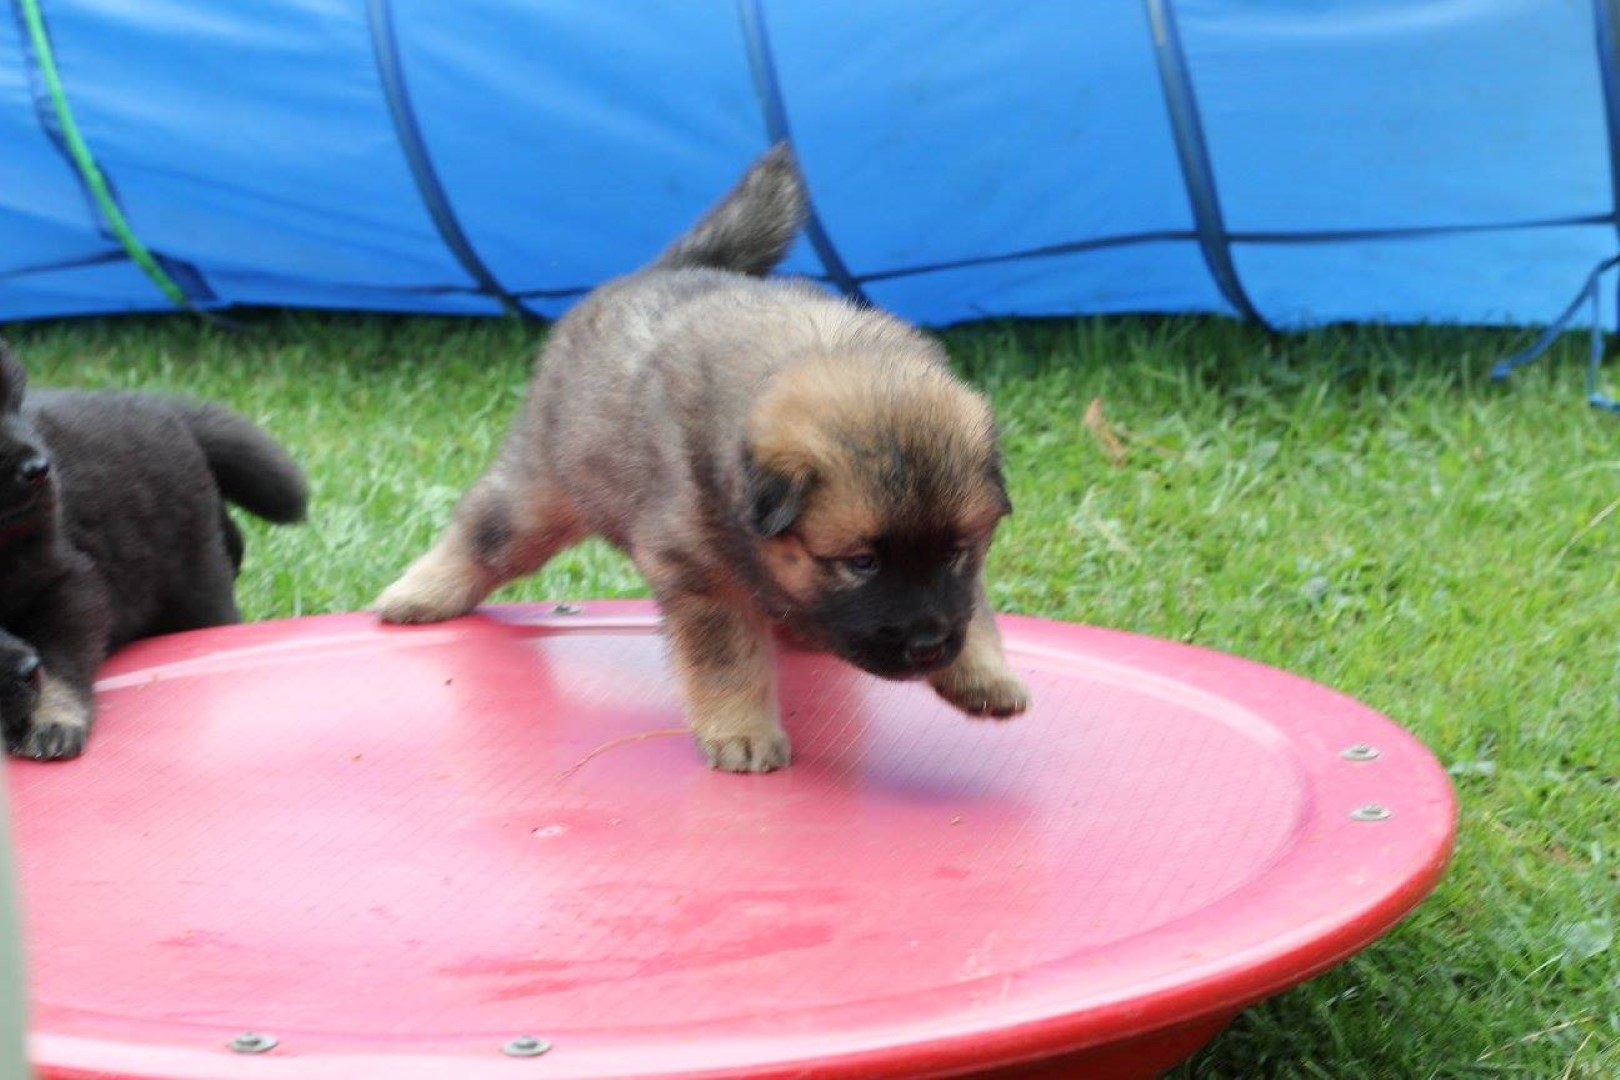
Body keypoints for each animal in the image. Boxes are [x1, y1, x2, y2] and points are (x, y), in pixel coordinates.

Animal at [0, 343, 308, 760]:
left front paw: (51, 719)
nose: (40, 468)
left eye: (16, 402)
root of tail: (164, 409)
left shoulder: (64, 581)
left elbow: (58, 657)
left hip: (199, 593)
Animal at [375, 144, 1029, 772]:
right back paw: (420, 593)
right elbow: (727, 658)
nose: (927, 646)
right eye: (862, 562)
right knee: (483, 533)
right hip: (540, 490)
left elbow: (972, 606)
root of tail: (657, 270)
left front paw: (981, 673)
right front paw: (743, 732)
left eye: (957, 551)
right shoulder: (700, 573)